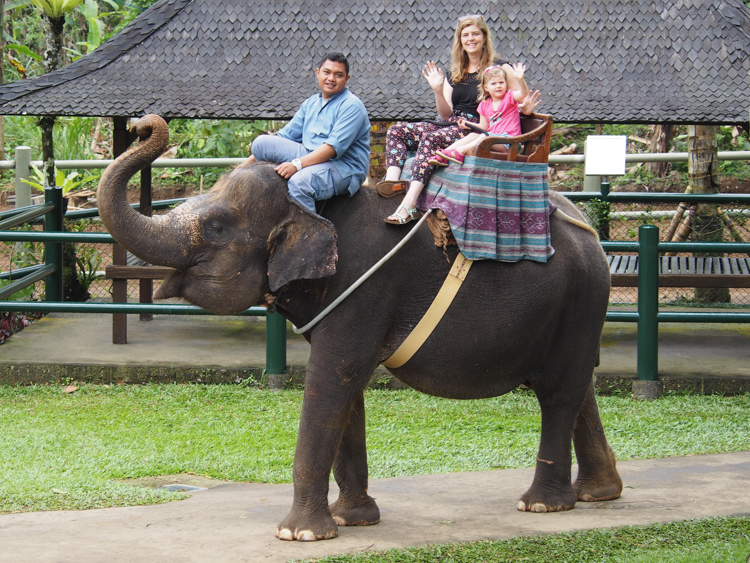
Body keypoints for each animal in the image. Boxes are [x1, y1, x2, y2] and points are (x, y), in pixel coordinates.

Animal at [101, 114, 628, 540]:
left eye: (215, 227)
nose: (143, 125)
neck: (317, 207)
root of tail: (589, 229)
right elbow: (346, 389)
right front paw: (353, 520)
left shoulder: (365, 289)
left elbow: (333, 378)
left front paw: (300, 534)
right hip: (573, 312)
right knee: (577, 385)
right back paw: (599, 494)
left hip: (579, 300)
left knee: (557, 392)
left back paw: (541, 504)